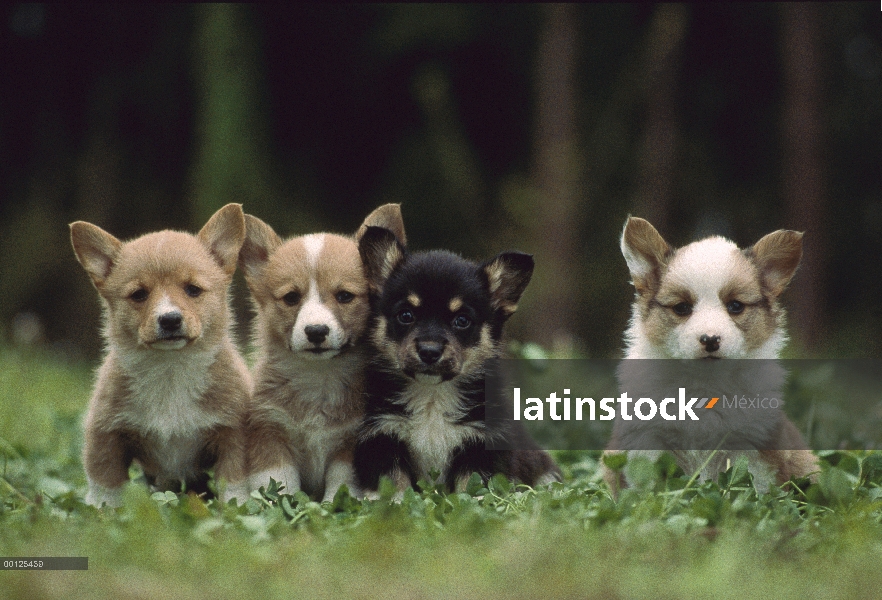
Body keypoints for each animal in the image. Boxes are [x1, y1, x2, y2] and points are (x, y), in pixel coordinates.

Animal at [70, 205, 251, 506]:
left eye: (193, 289)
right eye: (139, 294)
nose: (169, 320)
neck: (170, 370)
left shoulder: (233, 434)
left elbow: (234, 482)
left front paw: (237, 507)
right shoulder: (106, 433)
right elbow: (105, 482)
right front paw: (100, 510)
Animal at [241, 205, 406, 502]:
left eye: (344, 296)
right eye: (291, 298)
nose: (316, 331)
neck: (318, 377)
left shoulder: (351, 442)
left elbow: (340, 483)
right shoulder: (270, 433)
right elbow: (280, 484)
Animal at [350, 227, 556, 494]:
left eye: (462, 320)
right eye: (406, 315)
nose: (429, 351)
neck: (432, 397)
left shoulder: (481, 446)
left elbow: (471, 490)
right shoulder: (382, 437)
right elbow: (397, 487)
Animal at [604, 218, 820, 494]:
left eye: (735, 306)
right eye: (682, 308)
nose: (710, 339)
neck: (703, 388)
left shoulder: (750, 442)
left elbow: (749, 485)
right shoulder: (649, 437)